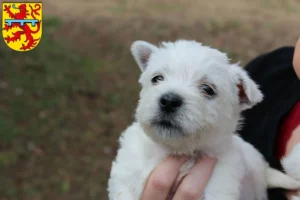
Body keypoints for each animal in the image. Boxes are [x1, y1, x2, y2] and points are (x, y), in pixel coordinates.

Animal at [107, 40, 300, 200]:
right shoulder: (126, 176)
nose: (169, 101)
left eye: (208, 89)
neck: (177, 151)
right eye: (157, 78)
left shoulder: (218, 188)